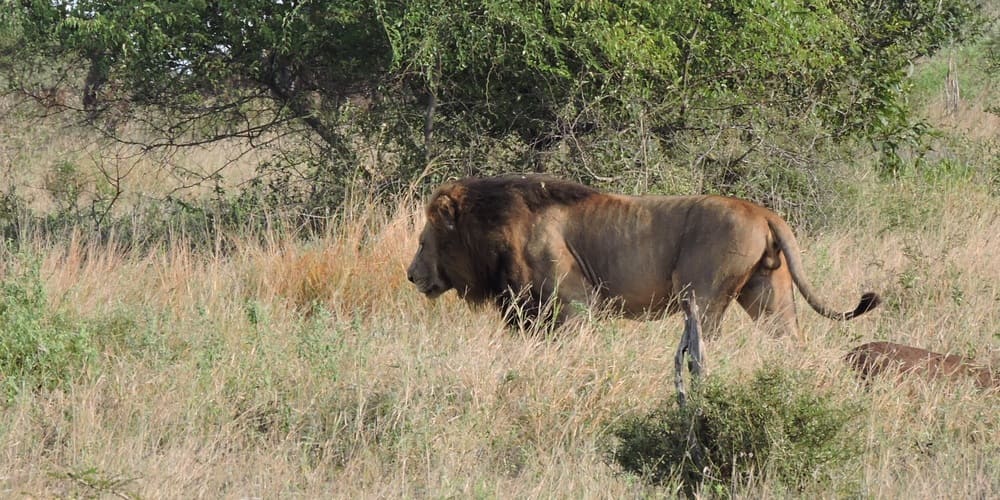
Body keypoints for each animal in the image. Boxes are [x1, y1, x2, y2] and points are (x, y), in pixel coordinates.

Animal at [404, 174, 876, 338]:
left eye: (424, 242)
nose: (410, 275)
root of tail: (763, 212)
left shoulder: (574, 304)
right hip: (769, 295)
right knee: (788, 338)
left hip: (701, 295)